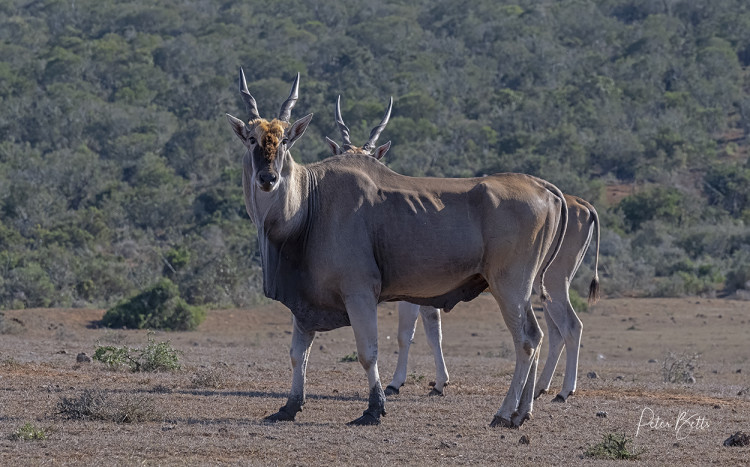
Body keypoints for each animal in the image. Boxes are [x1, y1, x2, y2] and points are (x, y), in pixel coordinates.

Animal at [229, 74, 568, 428]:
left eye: (285, 141)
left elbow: (368, 353)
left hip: (509, 286)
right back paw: (522, 412)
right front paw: (288, 407)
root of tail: (547, 189)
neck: (310, 201)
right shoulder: (304, 302)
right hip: (522, 290)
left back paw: (503, 413)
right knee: (537, 335)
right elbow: (298, 355)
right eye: (252, 139)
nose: (268, 177)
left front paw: (373, 409)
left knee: (526, 341)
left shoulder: (360, 292)